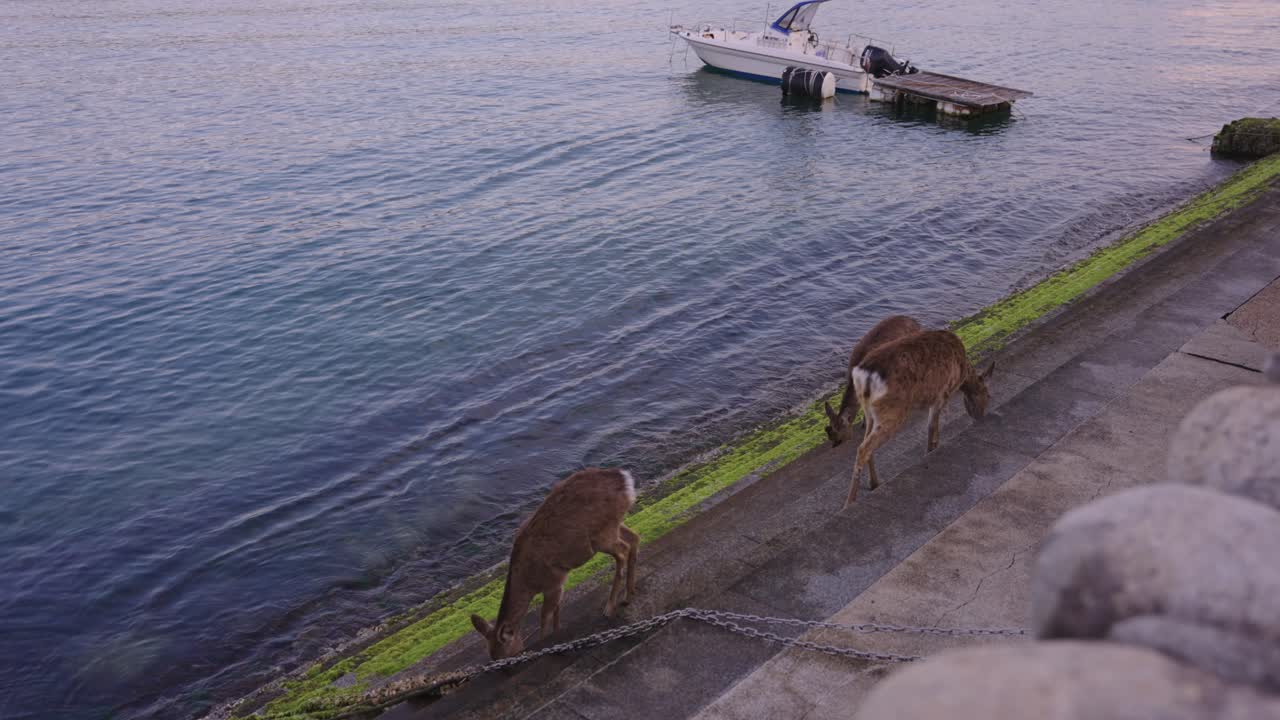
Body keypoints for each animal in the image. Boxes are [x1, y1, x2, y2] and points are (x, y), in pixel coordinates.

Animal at [470, 467, 639, 660]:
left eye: (505, 656)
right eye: (492, 657)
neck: (529, 583)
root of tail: (625, 479)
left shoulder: (551, 582)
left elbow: (544, 617)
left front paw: (544, 644)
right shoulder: (559, 582)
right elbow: (557, 611)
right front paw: (557, 633)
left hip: (602, 535)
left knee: (623, 551)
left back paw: (609, 607)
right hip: (614, 525)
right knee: (634, 538)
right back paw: (628, 595)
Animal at [843, 329, 995, 509]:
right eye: (988, 395)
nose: (981, 416)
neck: (963, 373)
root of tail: (864, 376)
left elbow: (931, 426)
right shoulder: (942, 393)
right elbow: (932, 427)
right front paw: (931, 450)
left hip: (869, 411)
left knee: (865, 443)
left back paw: (874, 483)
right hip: (893, 410)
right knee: (864, 448)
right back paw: (849, 502)